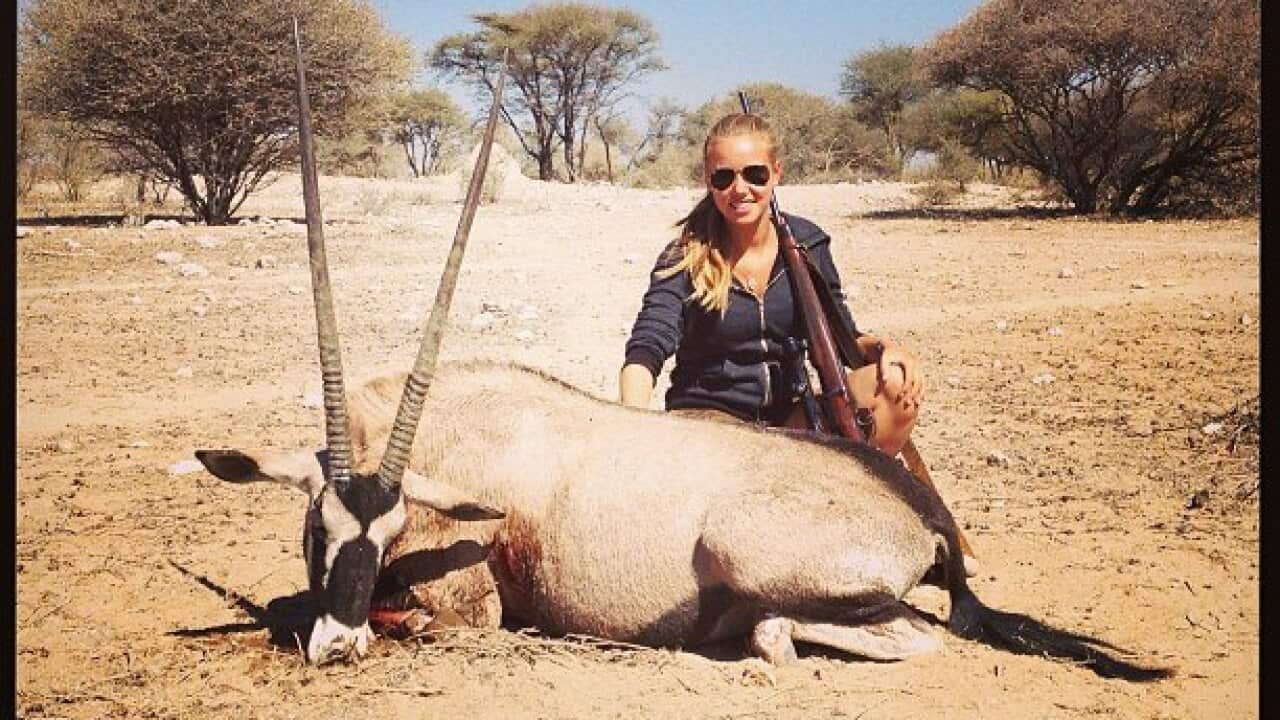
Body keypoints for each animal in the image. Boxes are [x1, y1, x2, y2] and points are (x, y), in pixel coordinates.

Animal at [193, 26, 1171, 681]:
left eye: (390, 530)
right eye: (318, 526)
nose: (339, 644)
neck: (457, 437)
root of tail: (918, 507)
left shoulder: (469, 606)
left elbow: (409, 618)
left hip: (761, 561)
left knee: (887, 631)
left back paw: (753, 635)